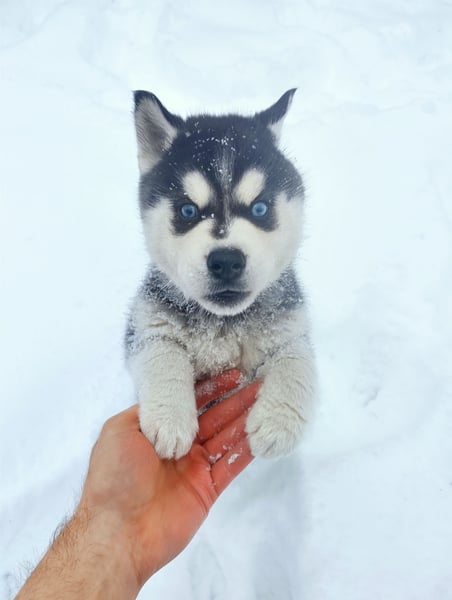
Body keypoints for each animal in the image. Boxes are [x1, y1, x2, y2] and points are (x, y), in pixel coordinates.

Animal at [125, 90, 317, 460]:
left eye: (260, 208)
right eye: (188, 210)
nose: (226, 261)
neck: (225, 323)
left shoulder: (290, 328)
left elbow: (296, 362)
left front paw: (278, 422)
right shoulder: (146, 323)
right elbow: (161, 351)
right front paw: (170, 417)